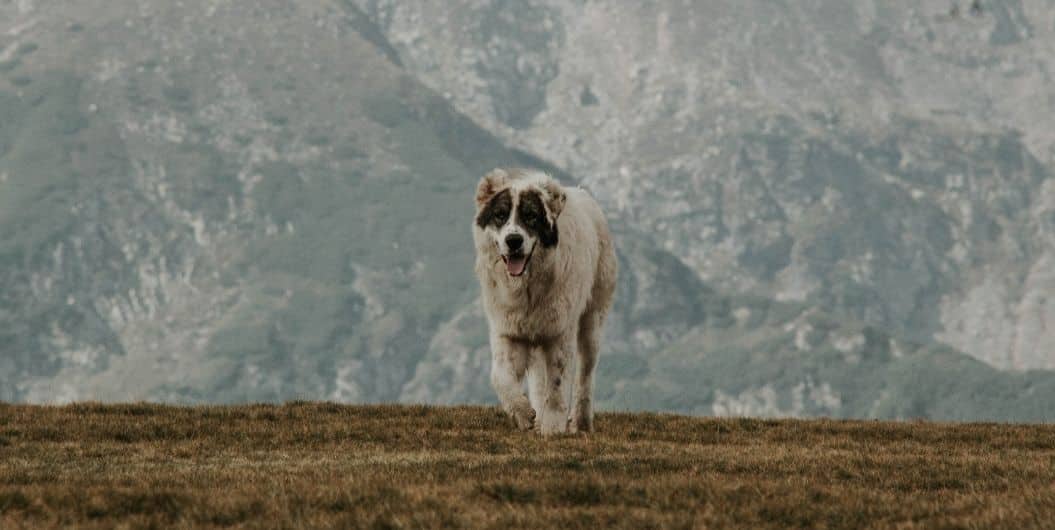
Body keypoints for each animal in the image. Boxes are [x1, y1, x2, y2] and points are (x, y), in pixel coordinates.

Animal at [472, 168, 616, 434]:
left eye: (530, 216)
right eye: (500, 215)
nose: (514, 240)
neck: (527, 287)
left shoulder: (560, 334)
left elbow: (557, 386)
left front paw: (553, 428)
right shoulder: (508, 331)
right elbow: (500, 376)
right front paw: (523, 414)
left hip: (592, 321)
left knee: (585, 374)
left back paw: (581, 422)